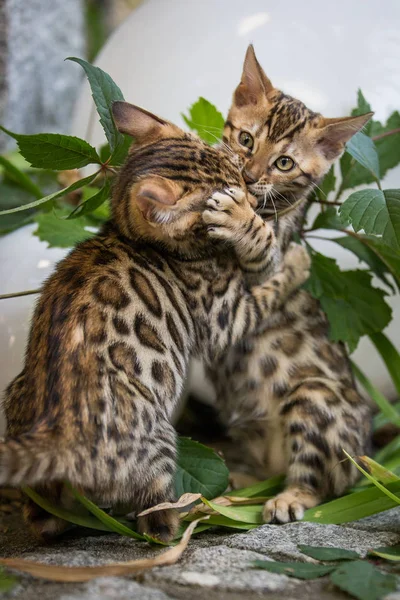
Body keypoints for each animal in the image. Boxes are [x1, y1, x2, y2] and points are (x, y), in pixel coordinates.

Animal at [0, 99, 310, 540]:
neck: (128, 233)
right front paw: (294, 254)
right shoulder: (225, 316)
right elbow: (269, 274)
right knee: (154, 521)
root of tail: (57, 436)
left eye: (241, 174)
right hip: (159, 439)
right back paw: (198, 512)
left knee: (43, 520)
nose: (254, 195)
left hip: (17, 396)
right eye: (232, 193)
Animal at [205, 47, 374, 524]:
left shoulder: (260, 276)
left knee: (325, 484)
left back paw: (290, 497)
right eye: (246, 139)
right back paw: (233, 486)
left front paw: (240, 217)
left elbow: (264, 250)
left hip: (313, 397)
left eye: (284, 163)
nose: (248, 174)